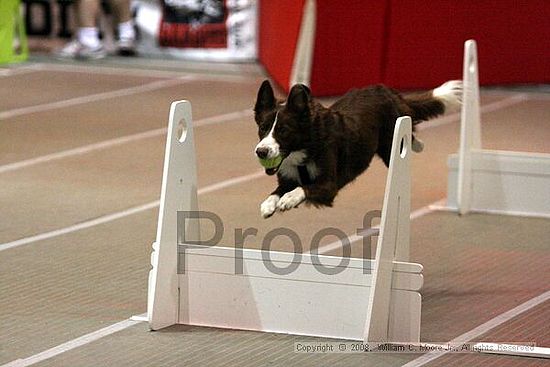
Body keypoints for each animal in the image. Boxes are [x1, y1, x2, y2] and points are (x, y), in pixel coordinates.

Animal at [256, 80, 464, 218]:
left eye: (284, 130)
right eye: (263, 128)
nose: (261, 151)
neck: (305, 146)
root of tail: (387, 91)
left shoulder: (329, 184)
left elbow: (304, 188)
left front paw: (288, 199)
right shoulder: (287, 178)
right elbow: (275, 192)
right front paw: (268, 205)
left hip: (391, 143)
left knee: (410, 133)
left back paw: (419, 144)